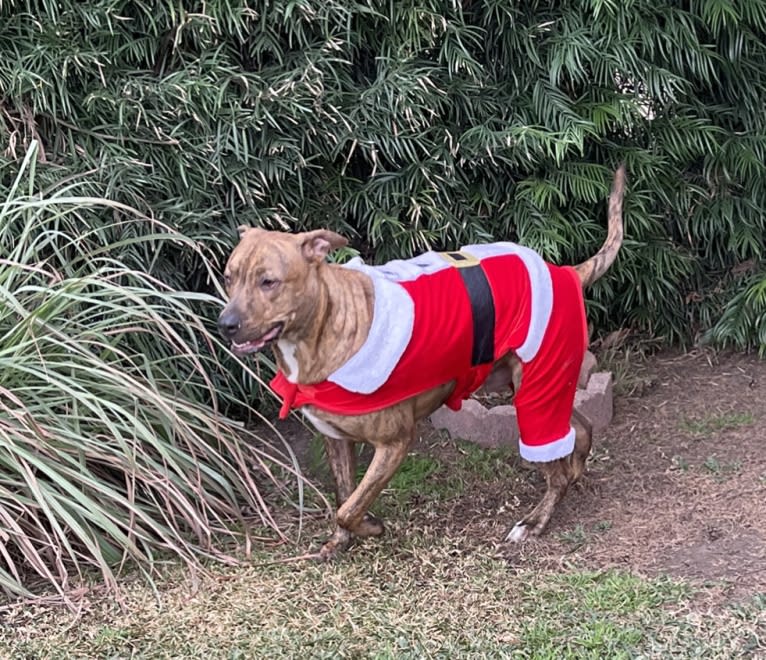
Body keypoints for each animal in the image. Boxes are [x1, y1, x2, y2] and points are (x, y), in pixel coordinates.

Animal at [219, 164, 628, 556]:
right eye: (228, 277)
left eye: (268, 281)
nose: (226, 324)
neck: (326, 326)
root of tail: (565, 272)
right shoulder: (335, 438)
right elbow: (343, 495)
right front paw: (342, 541)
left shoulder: (394, 442)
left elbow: (348, 507)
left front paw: (369, 526)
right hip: (538, 384)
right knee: (580, 430)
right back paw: (574, 471)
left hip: (536, 386)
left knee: (555, 464)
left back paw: (533, 522)